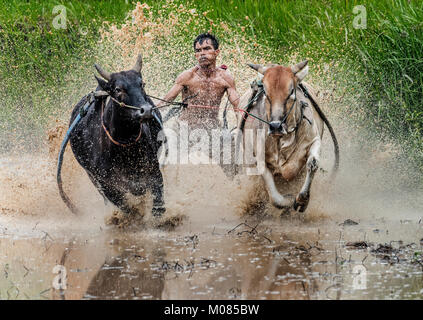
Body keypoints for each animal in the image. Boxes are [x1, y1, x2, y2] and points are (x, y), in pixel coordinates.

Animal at [61, 55, 167, 218]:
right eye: (118, 89)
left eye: (141, 84)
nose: (147, 110)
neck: (125, 146)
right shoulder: (106, 184)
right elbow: (127, 208)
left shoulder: (153, 171)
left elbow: (158, 204)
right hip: (92, 177)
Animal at [237, 60, 340, 212]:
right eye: (266, 93)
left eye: (291, 91)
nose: (275, 126)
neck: (282, 140)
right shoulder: (257, 158)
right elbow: (275, 199)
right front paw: (289, 200)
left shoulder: (314, 140)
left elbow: (312, 163)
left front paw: (302, 200)